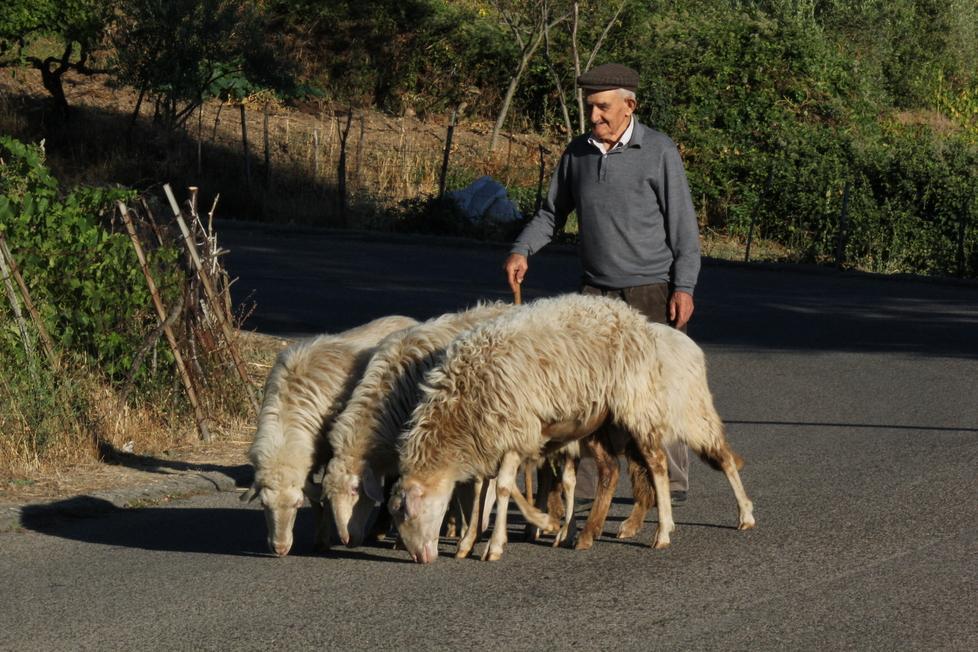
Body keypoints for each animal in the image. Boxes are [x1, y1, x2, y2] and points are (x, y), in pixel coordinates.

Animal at [242, 314, 418, 557]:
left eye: (297, 505)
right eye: (263, 504)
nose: (279, 548)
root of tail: (407, 319)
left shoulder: (328, 452)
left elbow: (324, 497)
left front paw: (323, 538)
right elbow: (316, 500)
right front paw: (320, 538)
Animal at [389, 293, 755, 563]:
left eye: (405, 512)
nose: (421, 558)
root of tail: (635, 319)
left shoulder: (516, 432)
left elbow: (504, 487)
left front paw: (498, 544)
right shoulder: (492, 437)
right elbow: (482, 488)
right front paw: (468, 541)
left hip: (648, 406)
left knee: (671, 463)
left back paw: (696, 525)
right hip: (605, 421)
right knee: (616, 470)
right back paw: (593, 532)